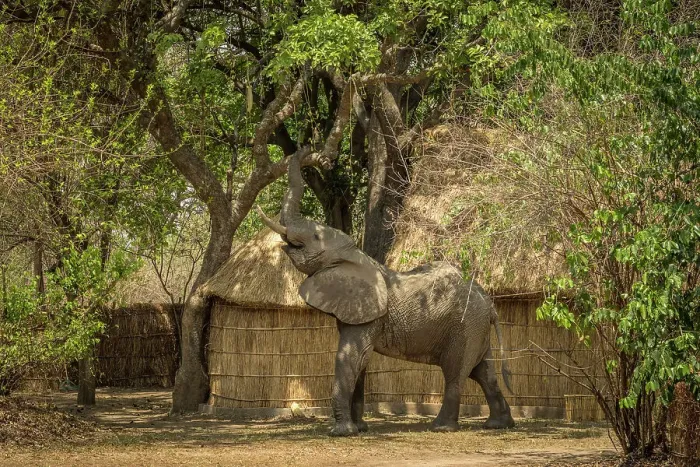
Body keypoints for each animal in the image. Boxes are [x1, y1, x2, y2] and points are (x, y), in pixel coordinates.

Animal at [256, 154, 515, 436]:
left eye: (314, 236)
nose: (302, 153)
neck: (357, 256)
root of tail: (489, 303)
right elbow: (360, 361)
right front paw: (360, 429)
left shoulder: (367, 313)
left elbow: (351, 357)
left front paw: (342, 432)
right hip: (476, 327)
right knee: (484, 372)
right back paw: (499, 425)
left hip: (465, 326)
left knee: (456, 372)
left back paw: (441, 427)